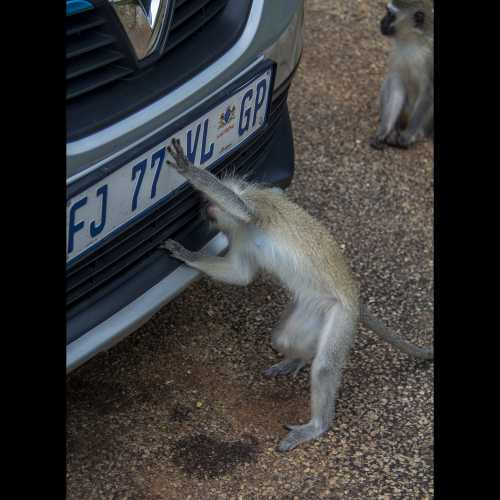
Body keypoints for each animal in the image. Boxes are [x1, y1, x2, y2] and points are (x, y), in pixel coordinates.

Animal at [161, 138, 434, 454]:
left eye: (207, 204)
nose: (204, 212)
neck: (243, 229)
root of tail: (353, 295)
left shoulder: (257, 207)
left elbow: (242, 209)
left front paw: (188, 169)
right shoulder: (240, 238)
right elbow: (240, 275)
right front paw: (188, 255)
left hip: (341, 315)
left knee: (325, 367)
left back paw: (317, 425)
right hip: (311, 309)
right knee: (283, 338)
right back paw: (297, 360)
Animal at [370, 0, 436, 149]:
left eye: (391, 15)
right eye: (387, 12)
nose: (381, 22)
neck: (413, 41)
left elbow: (429, 91)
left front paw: (409, 135)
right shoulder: (396, 51)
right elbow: (396, 84)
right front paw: (385, 130)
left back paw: (419, 133)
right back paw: (395, 128)